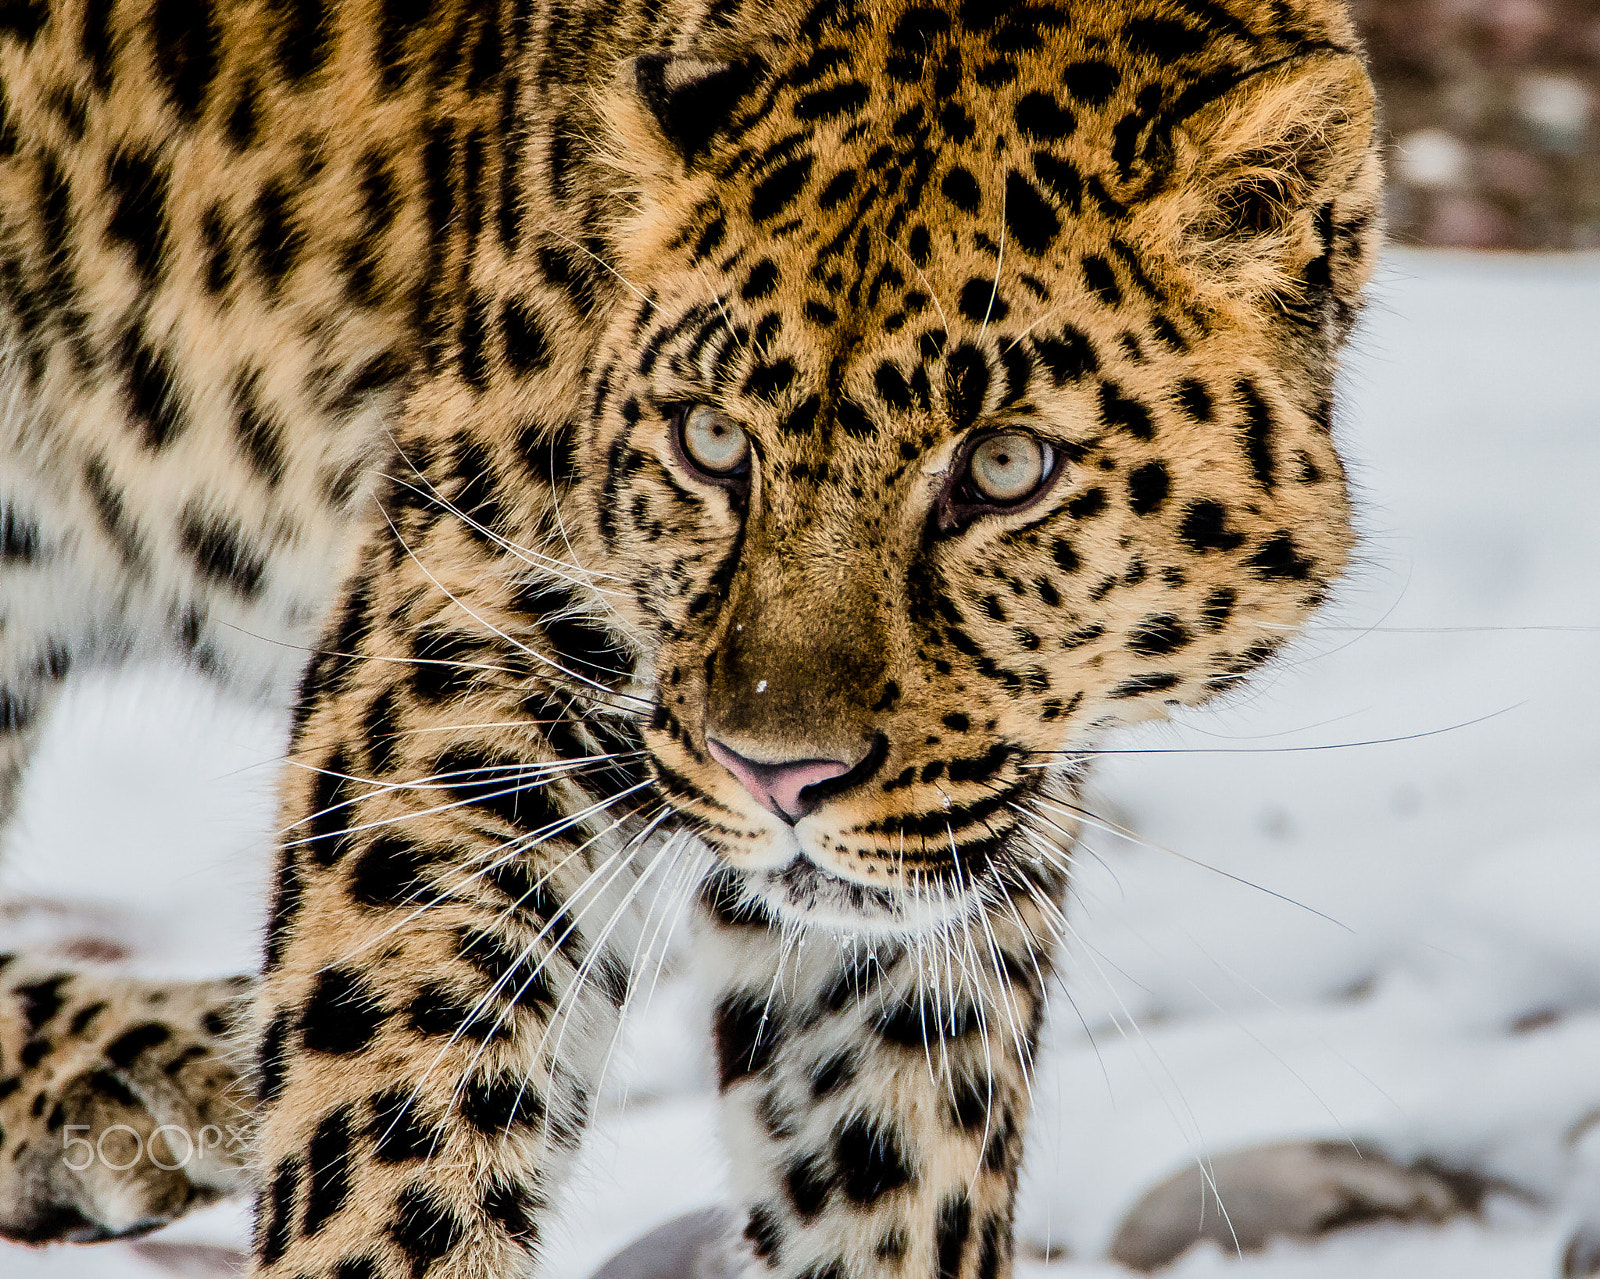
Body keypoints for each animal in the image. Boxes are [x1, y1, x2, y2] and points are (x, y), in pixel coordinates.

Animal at [0, 0, 1383, 1274]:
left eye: (1004, 467)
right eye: (711, 441)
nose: (777, 773)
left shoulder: (957, 838)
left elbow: (900, 1134)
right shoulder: (469, 640)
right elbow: (396, 1069)